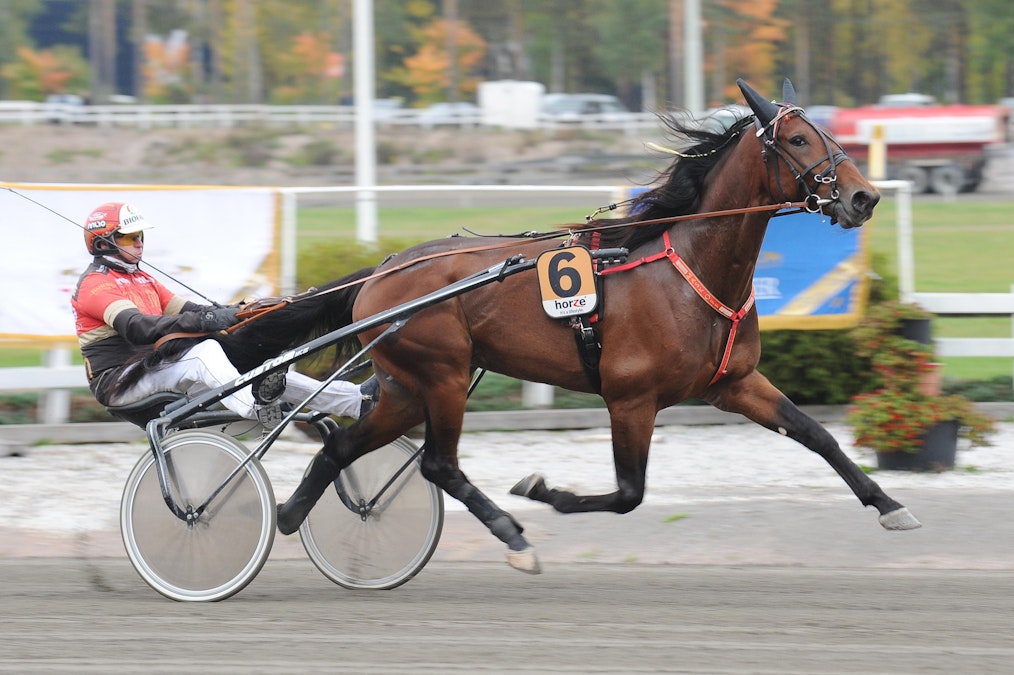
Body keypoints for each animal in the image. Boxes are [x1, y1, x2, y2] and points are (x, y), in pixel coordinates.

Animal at [226, 79, 924, 571]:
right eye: (800, 140)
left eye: (825, 131)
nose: (864, 197)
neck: (689, 271)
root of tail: (383, 272)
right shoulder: (630, 398)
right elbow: (629, 492)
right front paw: (547, 492)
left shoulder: (732, 383)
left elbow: (816, 434)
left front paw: (890, 506)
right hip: (444, 375)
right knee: (439, 465)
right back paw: (513, 536)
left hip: (404, 387)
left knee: (343, 447)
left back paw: (290, 514)